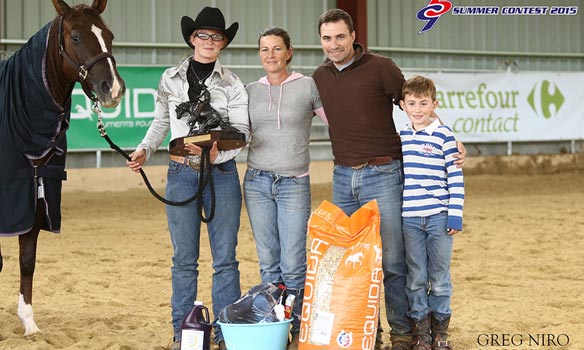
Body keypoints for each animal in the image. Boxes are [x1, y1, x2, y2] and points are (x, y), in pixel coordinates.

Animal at [0, 0, 124, 336]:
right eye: (76, 37)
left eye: (109, 35)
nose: (114, 89)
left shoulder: (35, 190)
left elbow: (27, 259)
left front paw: (29, 323)